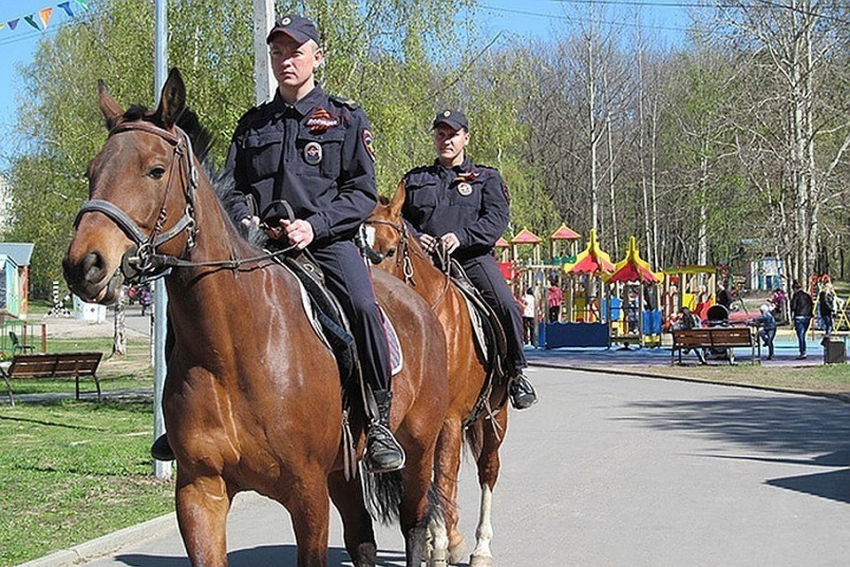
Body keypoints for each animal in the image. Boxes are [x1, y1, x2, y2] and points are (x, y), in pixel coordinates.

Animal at [62, 70, 450, 567]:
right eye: (92, 171)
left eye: (155, 170)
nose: (84, 264)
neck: (232, 347)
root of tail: (420, 305)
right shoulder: (200, 491)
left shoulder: (306, 493)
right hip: (343, 471)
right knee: (362, 536)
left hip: (418, 449)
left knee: (415, 524)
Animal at [366, 184, 510, 564]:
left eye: (388, 250)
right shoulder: (427, 426)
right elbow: (433, 486)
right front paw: (438, 542)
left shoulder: (447, 420)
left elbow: (443, 478)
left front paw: (443, 545)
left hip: (494, 417)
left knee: (487, 471)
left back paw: (480, 547)